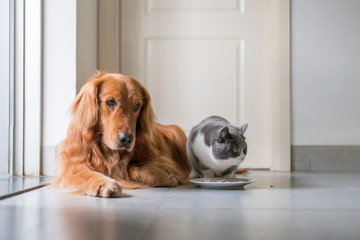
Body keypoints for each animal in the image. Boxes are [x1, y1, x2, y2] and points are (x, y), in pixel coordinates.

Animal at [53, 71, 191, 197]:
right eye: (110, 102)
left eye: (137, 106)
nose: (126, 139)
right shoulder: (71, 167)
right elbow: (88, 174)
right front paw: (105, 183)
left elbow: (130, 168)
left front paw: (165, 175)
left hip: (177, 131)